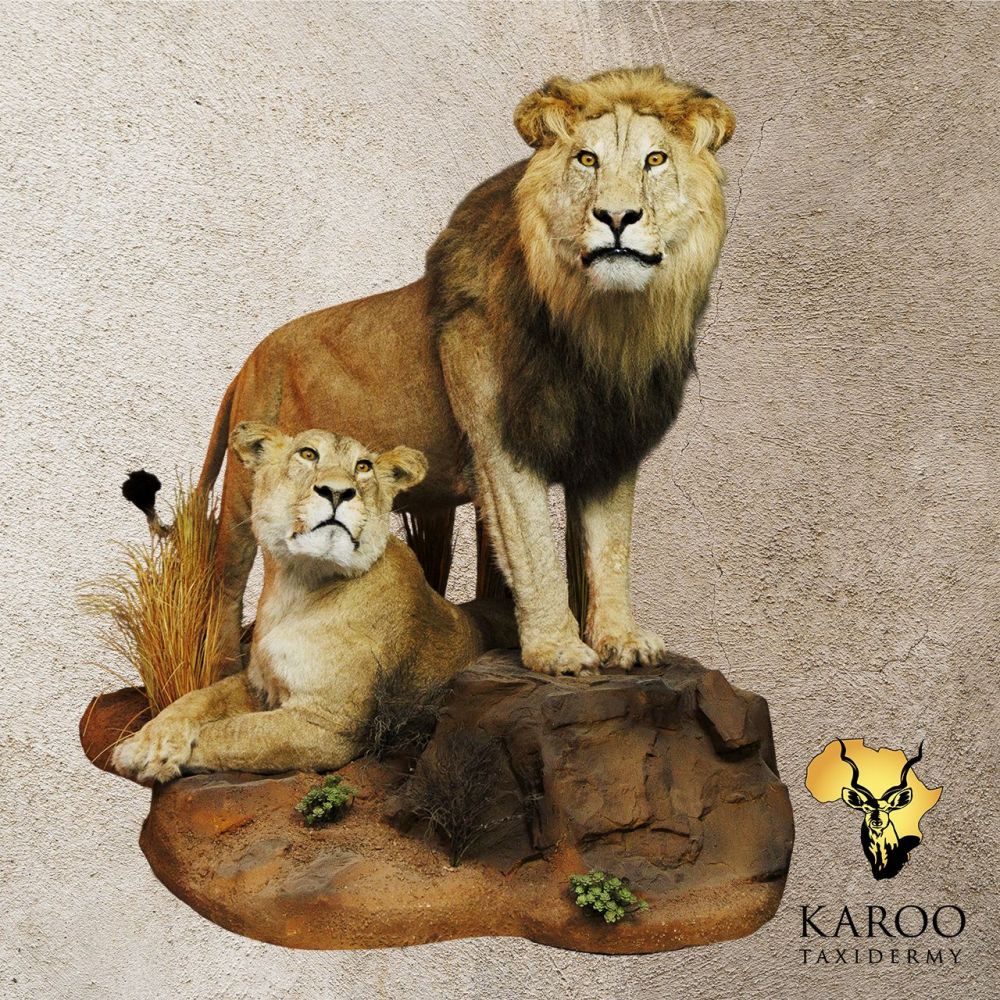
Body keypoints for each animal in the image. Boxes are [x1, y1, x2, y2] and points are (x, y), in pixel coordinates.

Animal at [112, 424, 513, 782]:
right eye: (307, 454)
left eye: (363, 466)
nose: (338, 492)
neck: (296, 585)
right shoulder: (259, 684)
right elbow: (201, 697)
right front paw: (146, 741)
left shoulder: (326, 725)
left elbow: (234, 733)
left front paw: (152, 757)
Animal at [183, 67, 734, 678]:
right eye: (587, 159)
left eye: (655, 160)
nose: (617, 218)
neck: (600, 325)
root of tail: (247, 362)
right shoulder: (500, 444)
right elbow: (535, 551)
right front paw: (559, 651)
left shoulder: (609, 448)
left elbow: (610, 551)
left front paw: (623, 641)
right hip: (243, 495)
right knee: (226, 586)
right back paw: (219, 670)